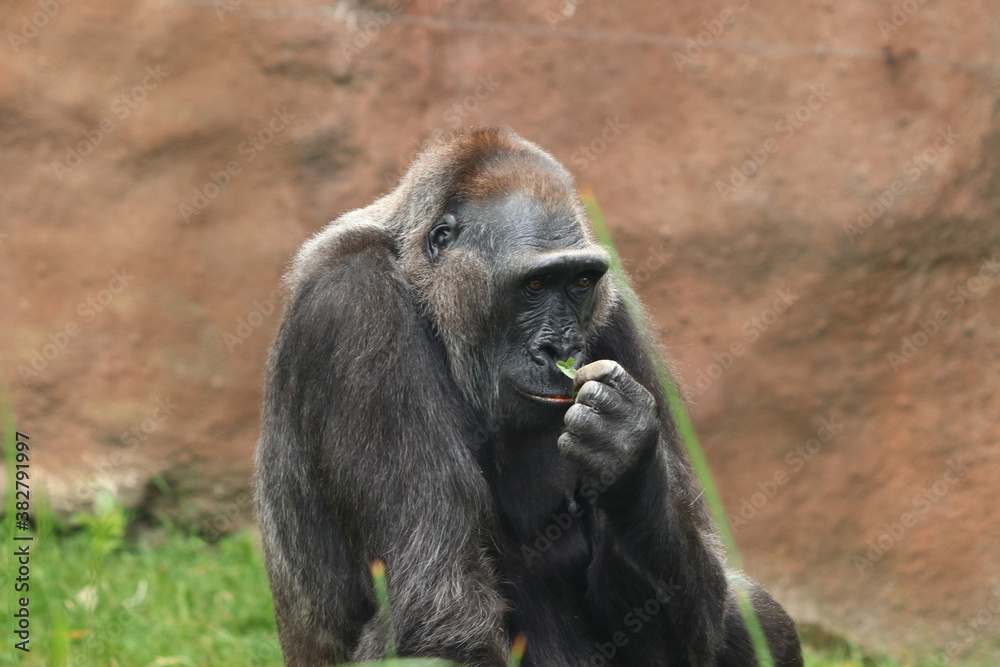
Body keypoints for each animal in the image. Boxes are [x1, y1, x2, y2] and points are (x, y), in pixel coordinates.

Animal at [258, 126, 804, 667]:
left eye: (580, 281)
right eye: (535, 285)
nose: (560, 349)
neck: (424, 291)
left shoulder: (618, 313)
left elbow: (698, 607)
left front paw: (627, 453)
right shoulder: (356, 307)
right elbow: (436, 606)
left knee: (753, 614)